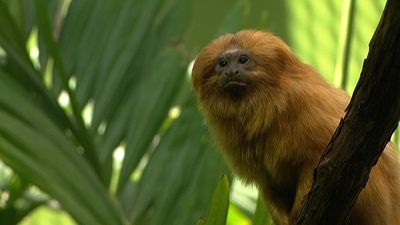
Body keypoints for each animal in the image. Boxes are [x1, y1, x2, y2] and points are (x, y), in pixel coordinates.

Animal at [191, 29, 400, 223]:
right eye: (222, 63)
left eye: (243, 60)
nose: (230, 72)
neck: (264, 104)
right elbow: (270, 185)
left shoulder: (305, 106)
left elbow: (317, 163)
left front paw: (299, 212)